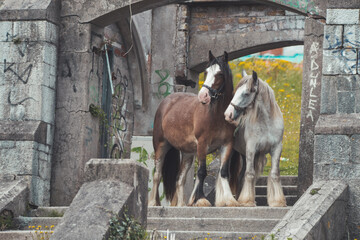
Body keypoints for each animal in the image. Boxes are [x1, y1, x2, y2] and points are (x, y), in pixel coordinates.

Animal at [148, 50, 240, 206]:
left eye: (220, 74)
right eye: (206, 72)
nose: (203, 96)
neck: (217, 115)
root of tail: (166, 102)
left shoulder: (227, 144)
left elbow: (223, 172)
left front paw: (230, 199)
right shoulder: (202, 144)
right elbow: (202, 171)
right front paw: (201, 199)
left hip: (188, 153)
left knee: (180, 179)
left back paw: (181, 205)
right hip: (161, 145)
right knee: (157, 174)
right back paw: (153, 203)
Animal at [225, 70, 286, 207]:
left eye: (246, 93)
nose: (228, 114)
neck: (267, 123)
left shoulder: (276, 149)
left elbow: (274, 174)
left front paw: (277, 201)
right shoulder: (251, 149)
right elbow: (250, 174)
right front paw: (247, 201)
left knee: (240, 176)